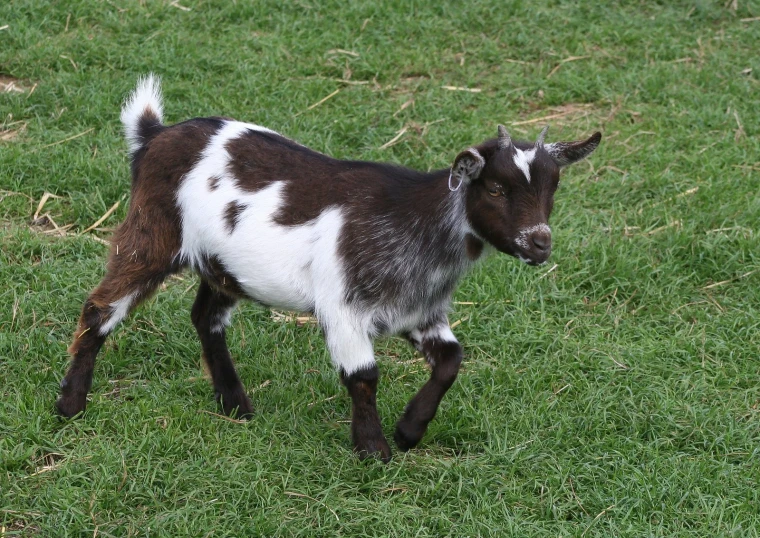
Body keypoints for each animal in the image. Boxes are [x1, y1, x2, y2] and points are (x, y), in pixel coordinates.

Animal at [58, 76, 600, 460]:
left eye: (552, 187)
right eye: (495, 188)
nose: (540, 243)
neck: (416, 221)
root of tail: (153, 137)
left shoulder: (419, 312)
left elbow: (451, 360)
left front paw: (409, 431)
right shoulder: (344, 307)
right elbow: (363, 375)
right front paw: (374, 451)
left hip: (224, 264)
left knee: (205, 316)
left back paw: (235, 404)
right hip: (153, 232)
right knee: (101, 306)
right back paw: (70, 406)